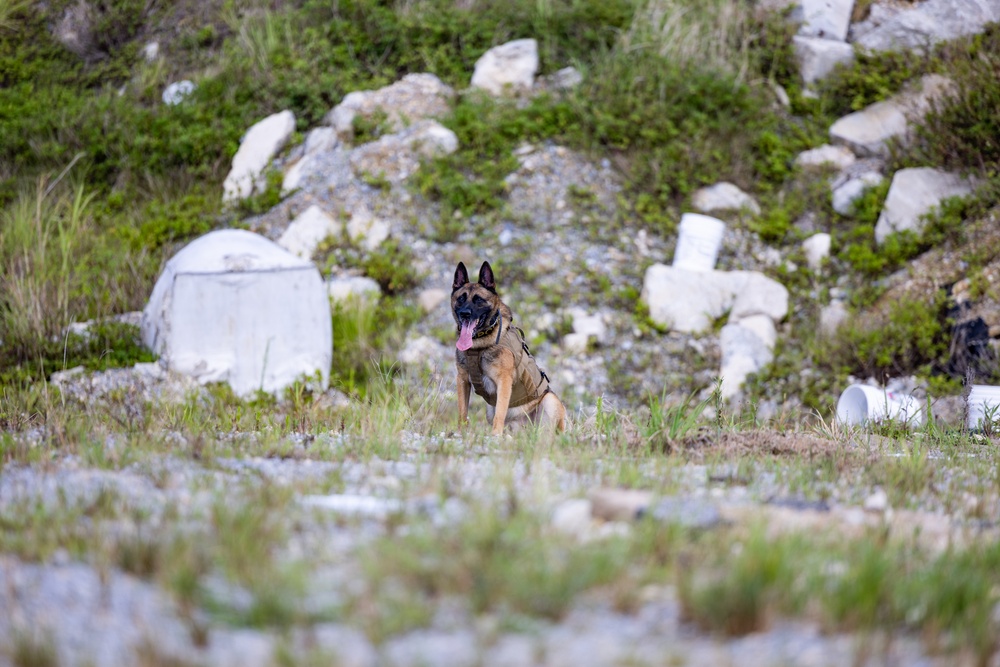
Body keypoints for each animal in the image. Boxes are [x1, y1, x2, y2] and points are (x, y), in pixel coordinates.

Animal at [452, 260, 568, 438]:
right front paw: (460, 433)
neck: (479, 345)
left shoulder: (504, 381)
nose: (465, 313)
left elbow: (500, 412)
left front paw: (495, 435)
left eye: (479, 300)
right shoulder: (463, 380)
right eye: (461, 299)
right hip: (490, 410)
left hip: (550, 401)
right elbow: (462, 412)